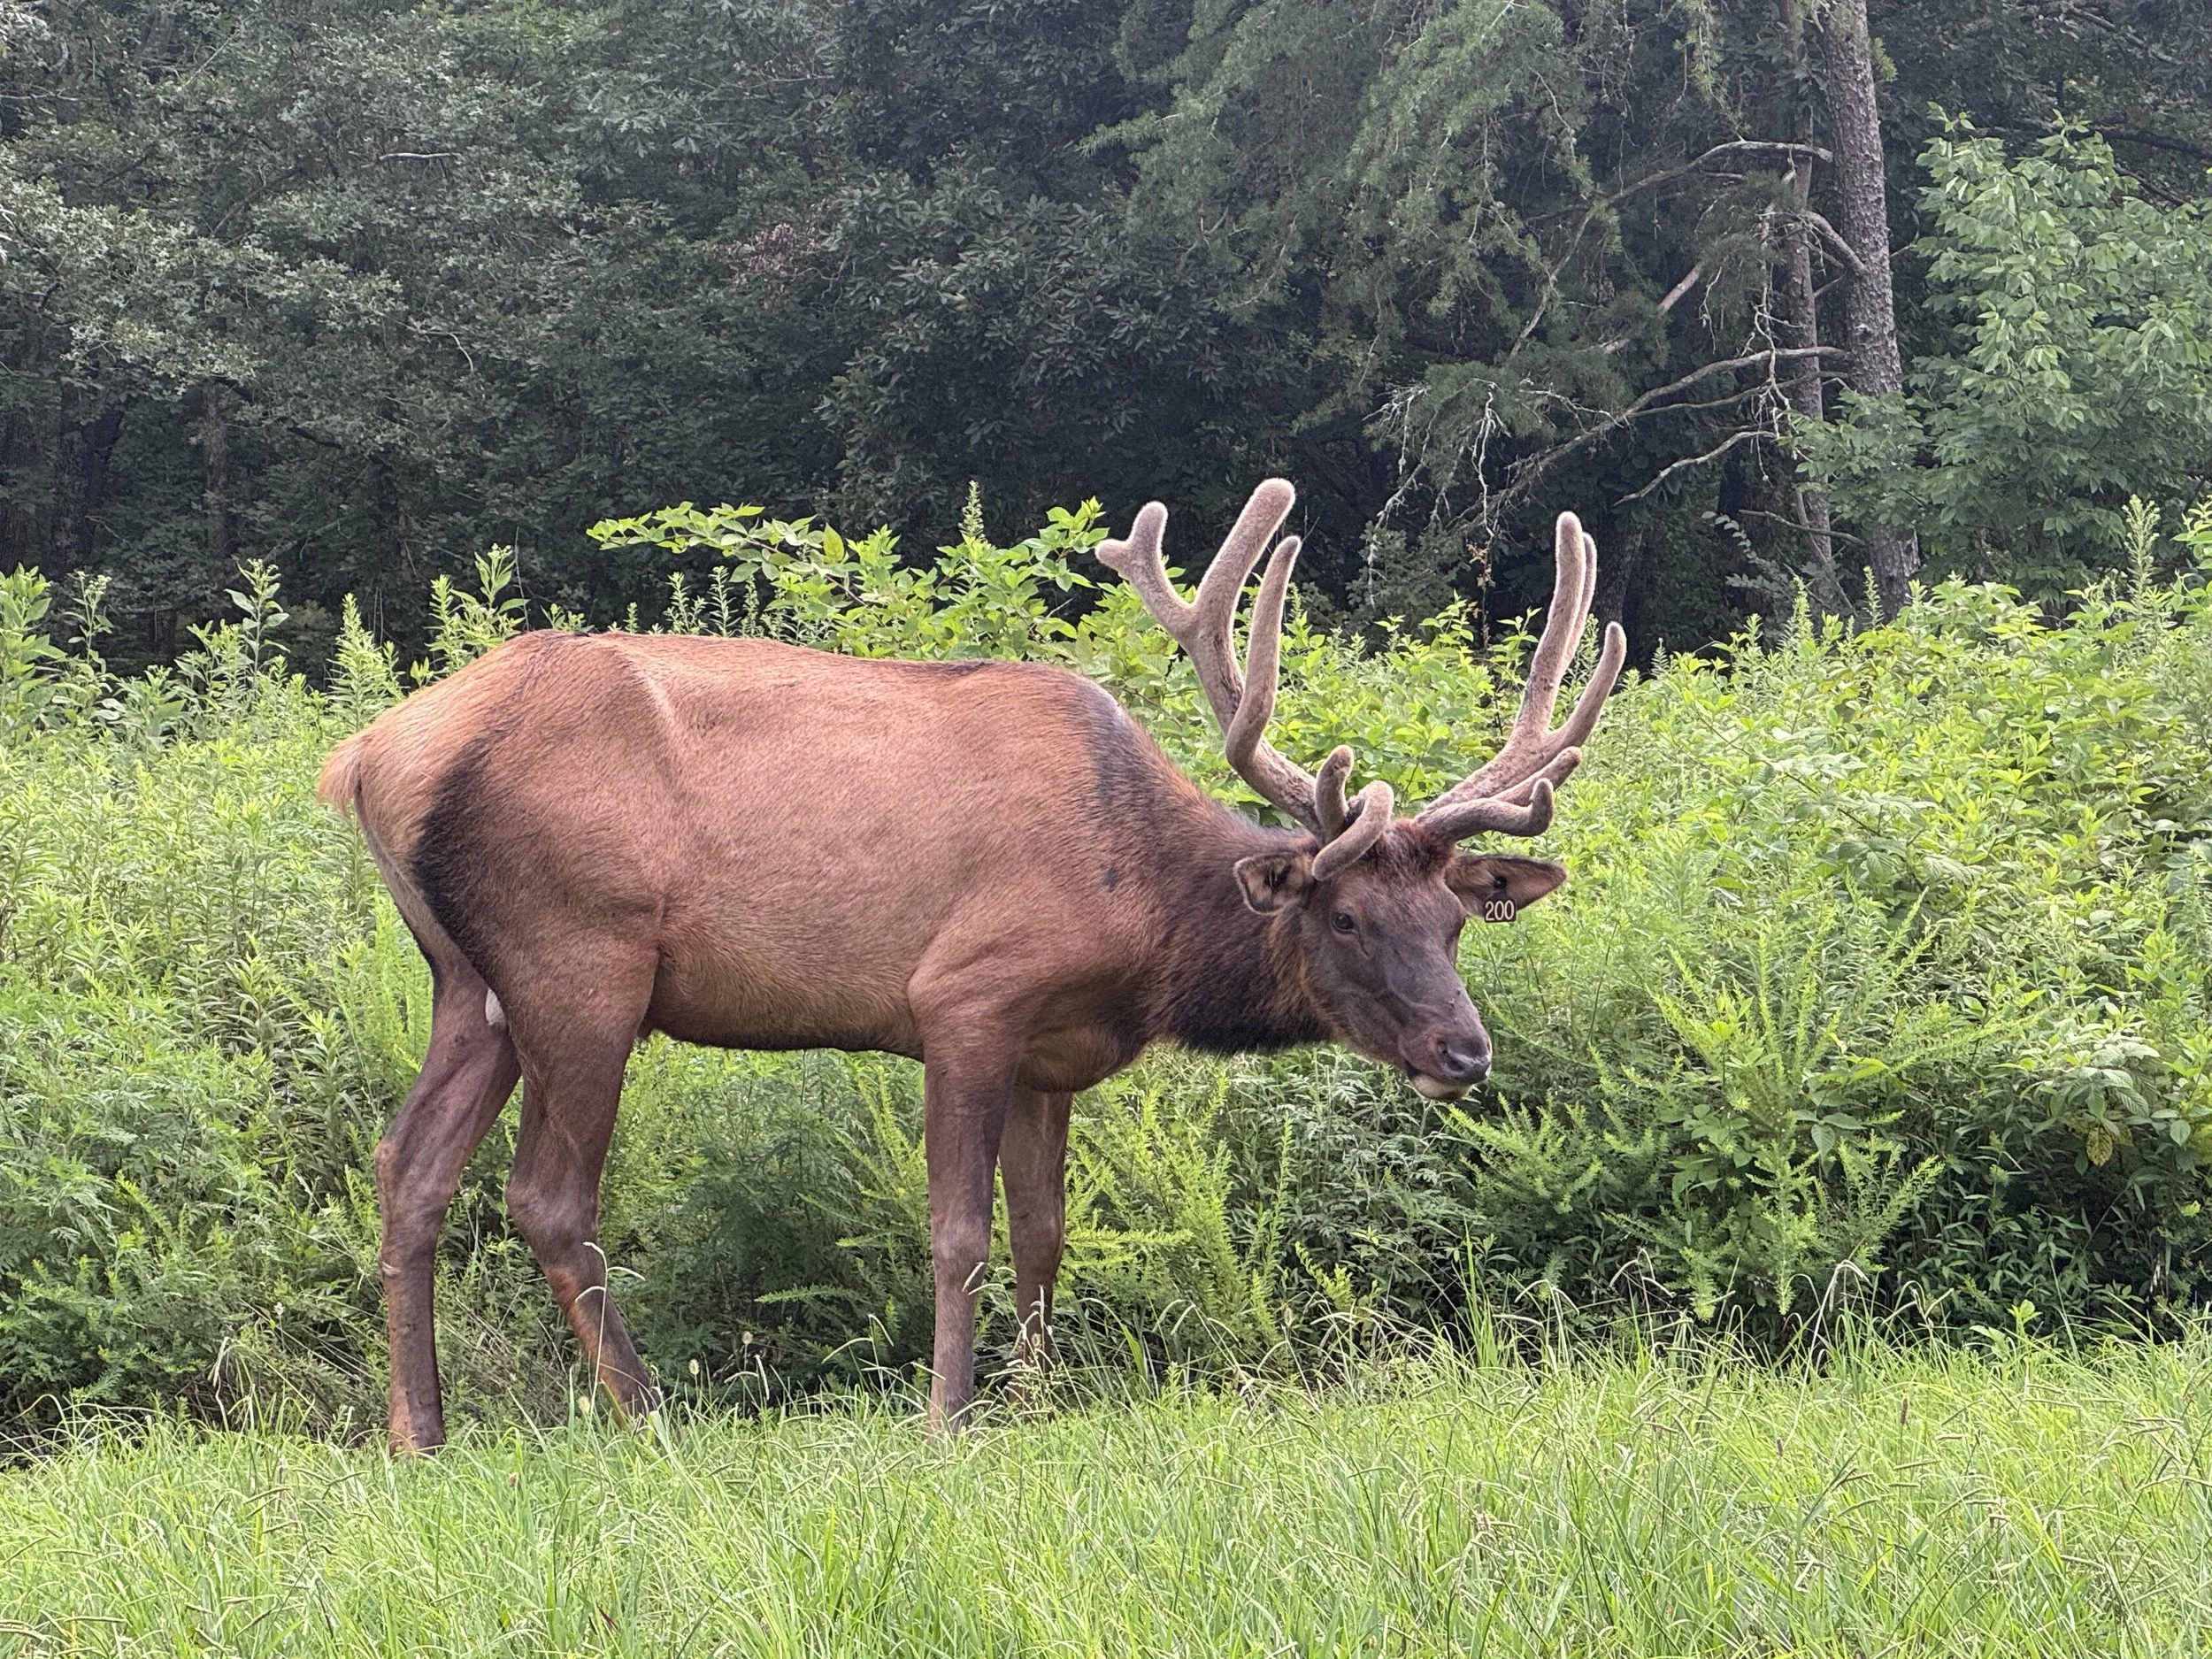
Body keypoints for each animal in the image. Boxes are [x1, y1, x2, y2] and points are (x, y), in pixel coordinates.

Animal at [318, 479, 1627, 1452]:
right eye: (1346, 915)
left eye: (1452, 920)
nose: (1465, 1049)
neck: (1140, 923)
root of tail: (370, 757)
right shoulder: (966, 995)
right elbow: (960, 1230)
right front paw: (948, 1415)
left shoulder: (1055, 1052)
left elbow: (1046, 1230)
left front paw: (1035, 1395)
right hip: (580, 955)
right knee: (546, 1196)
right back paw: (646, 1416)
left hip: (469, 979)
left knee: (407, 1165)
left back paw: (418, 1430)